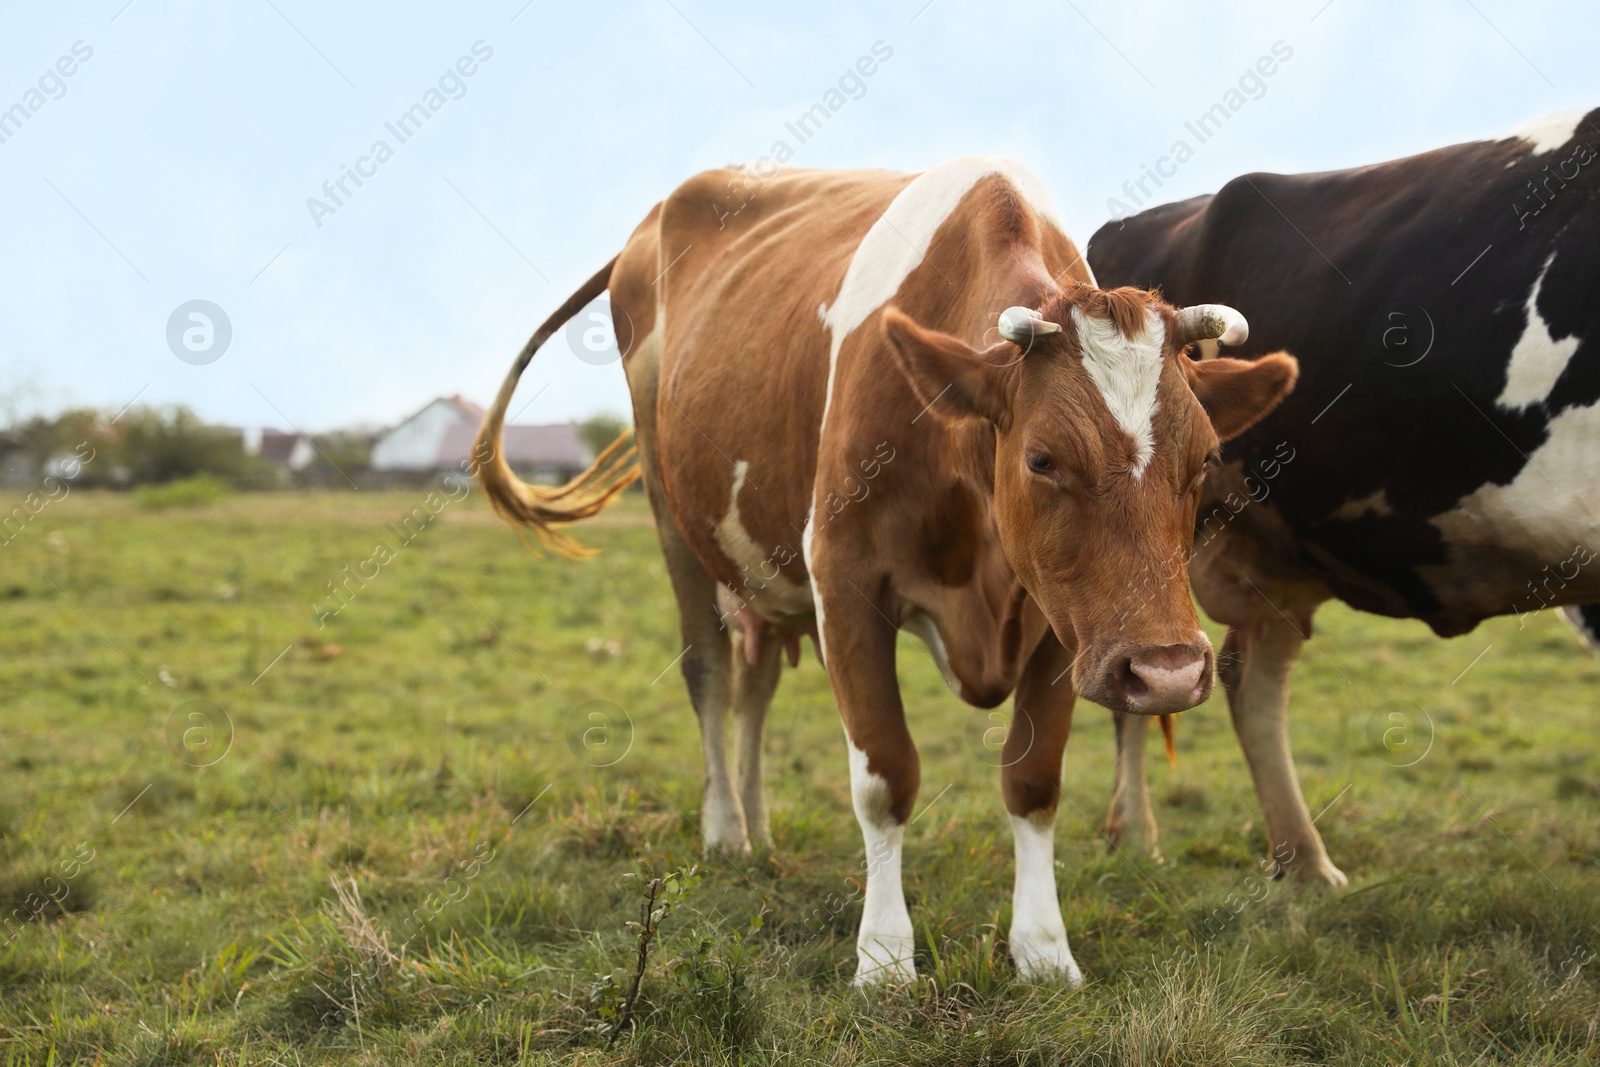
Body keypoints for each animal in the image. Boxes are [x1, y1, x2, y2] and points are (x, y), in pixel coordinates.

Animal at [473, 158, 1299, 985]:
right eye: (1042, 458)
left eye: (1206, 457)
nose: (1167, 672)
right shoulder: (844, 581)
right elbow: (885, 775)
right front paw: (884, 957)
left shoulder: (1064, 625)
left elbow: (1034, 779)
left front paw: (1043, 949)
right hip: (672, 508)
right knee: (708, 671)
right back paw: (726, 831)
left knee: (755, 685)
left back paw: (758, 830)